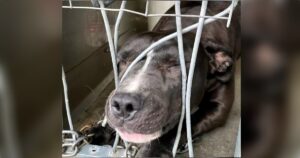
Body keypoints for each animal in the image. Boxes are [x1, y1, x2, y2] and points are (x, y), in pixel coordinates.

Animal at [82, 1, 241, 157]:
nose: (123, 104)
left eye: (175, 65)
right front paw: (100, 130)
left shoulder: (219, 106)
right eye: (123, 62)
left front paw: (155, 151)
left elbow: (182, 125)